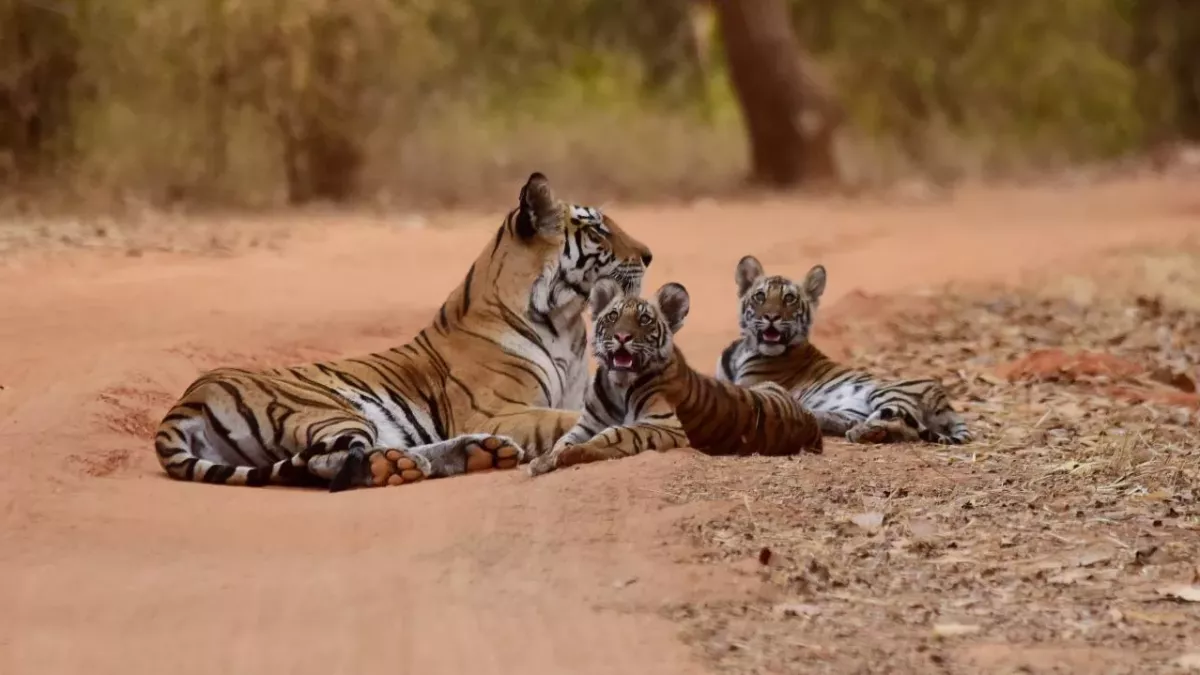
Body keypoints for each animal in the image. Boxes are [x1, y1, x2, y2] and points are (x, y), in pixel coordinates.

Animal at [154, 172, 654, 491]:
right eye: (598, 231)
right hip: (328, 410)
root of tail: (185, 402)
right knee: (329, 462)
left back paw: (480, 454)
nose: (649, 255)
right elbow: (565, 420)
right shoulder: (498, 410)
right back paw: (405, 465)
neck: (566, 321)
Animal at [529, 279, 823, 476]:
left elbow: (615, 434)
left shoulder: (664, 424)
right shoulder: (588, 423)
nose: (622, 336)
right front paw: (545, 460)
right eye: (613, 316)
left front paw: (573, 454)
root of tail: (810, 421)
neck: (618, 386)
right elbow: (563, 439)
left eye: (644, 320)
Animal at [716, 255, 972, 445]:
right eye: (760, 296)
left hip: (886, 392)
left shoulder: (751, 386)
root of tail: (945, 401)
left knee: (901, 425)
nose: (771, 316)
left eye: (789, 298)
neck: (744, 349)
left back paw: (862, 432)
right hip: (853, 409)